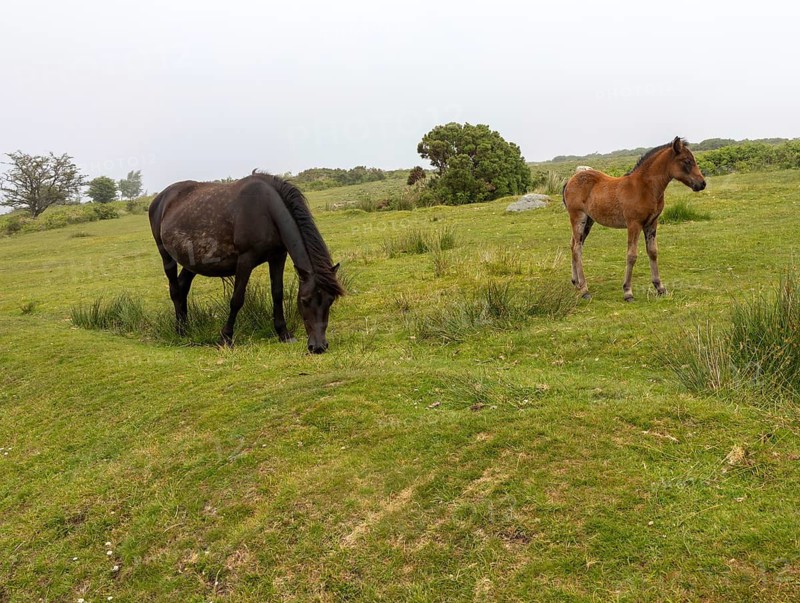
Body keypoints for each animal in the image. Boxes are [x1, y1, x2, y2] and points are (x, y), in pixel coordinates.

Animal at [148, 172, 344, 352]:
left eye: (330, 300)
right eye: (304, 301)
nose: (318, 347)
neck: (266, 210)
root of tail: (160, 199)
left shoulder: (278, 256)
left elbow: (277, 293)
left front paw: (284, 333)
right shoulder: (245, 259)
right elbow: (237, 299)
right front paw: (226, 338)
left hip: (193, 262)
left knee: (183, 286)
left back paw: (186, 326)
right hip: (166, 255)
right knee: (175, 290)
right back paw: (180, 332)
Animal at [562, 137, 706, 302]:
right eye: (687, 161)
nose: (702, 183)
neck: (645, 188)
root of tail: (569, 181)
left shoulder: (652, 223)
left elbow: (653, 252)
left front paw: (660, 287)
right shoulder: (634, 224)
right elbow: (631, 255)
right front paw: (627, 291)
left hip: (589, 221)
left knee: (573, 245)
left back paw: (576, 283)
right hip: (578, 217)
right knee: (577, 248)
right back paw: (585, 289)